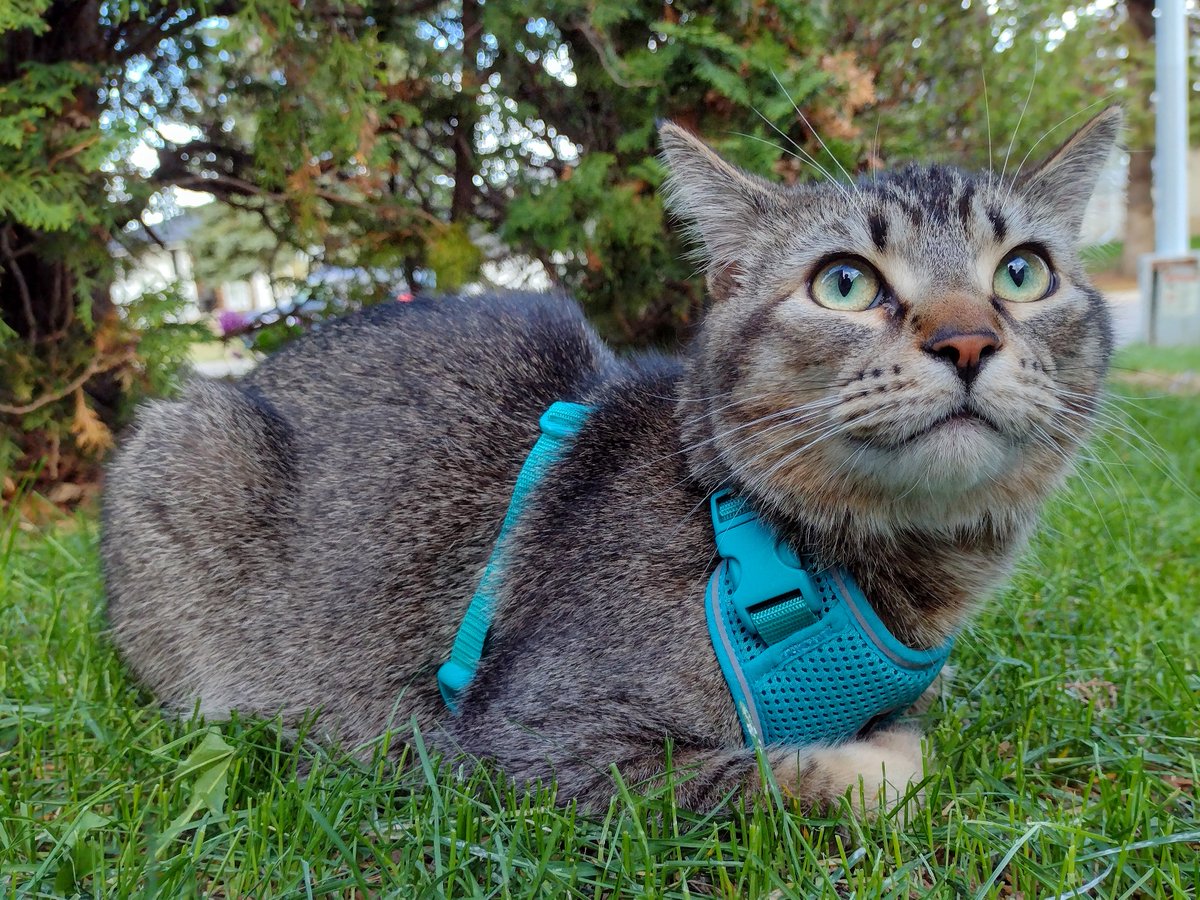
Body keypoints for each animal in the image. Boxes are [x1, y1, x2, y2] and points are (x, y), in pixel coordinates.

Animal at [103, 105, 1123, 816]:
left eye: (1023, 272)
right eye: (845, 283)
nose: (966, 339)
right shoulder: (519, 747)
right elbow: (800, 780)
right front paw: (875, 757)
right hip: (195, 449)